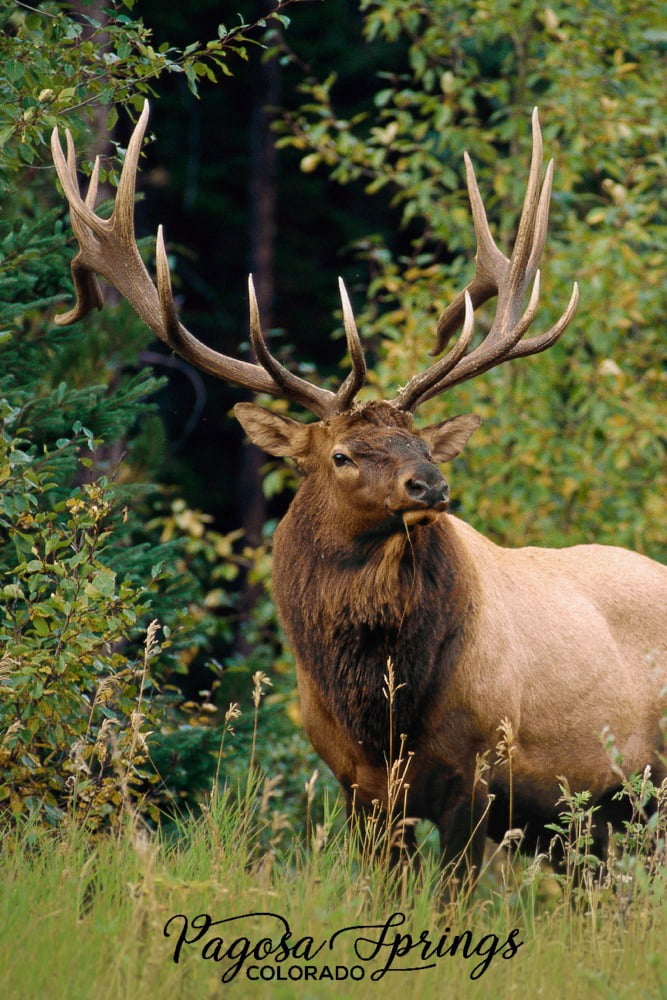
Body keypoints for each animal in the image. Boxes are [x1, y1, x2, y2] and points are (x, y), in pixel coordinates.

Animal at [51, 102, 667, 894]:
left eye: (424, 445)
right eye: (341, 455)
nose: (431, 485)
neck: (381, 714)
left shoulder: (480, 775)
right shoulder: (357, 787)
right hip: (588, 828)